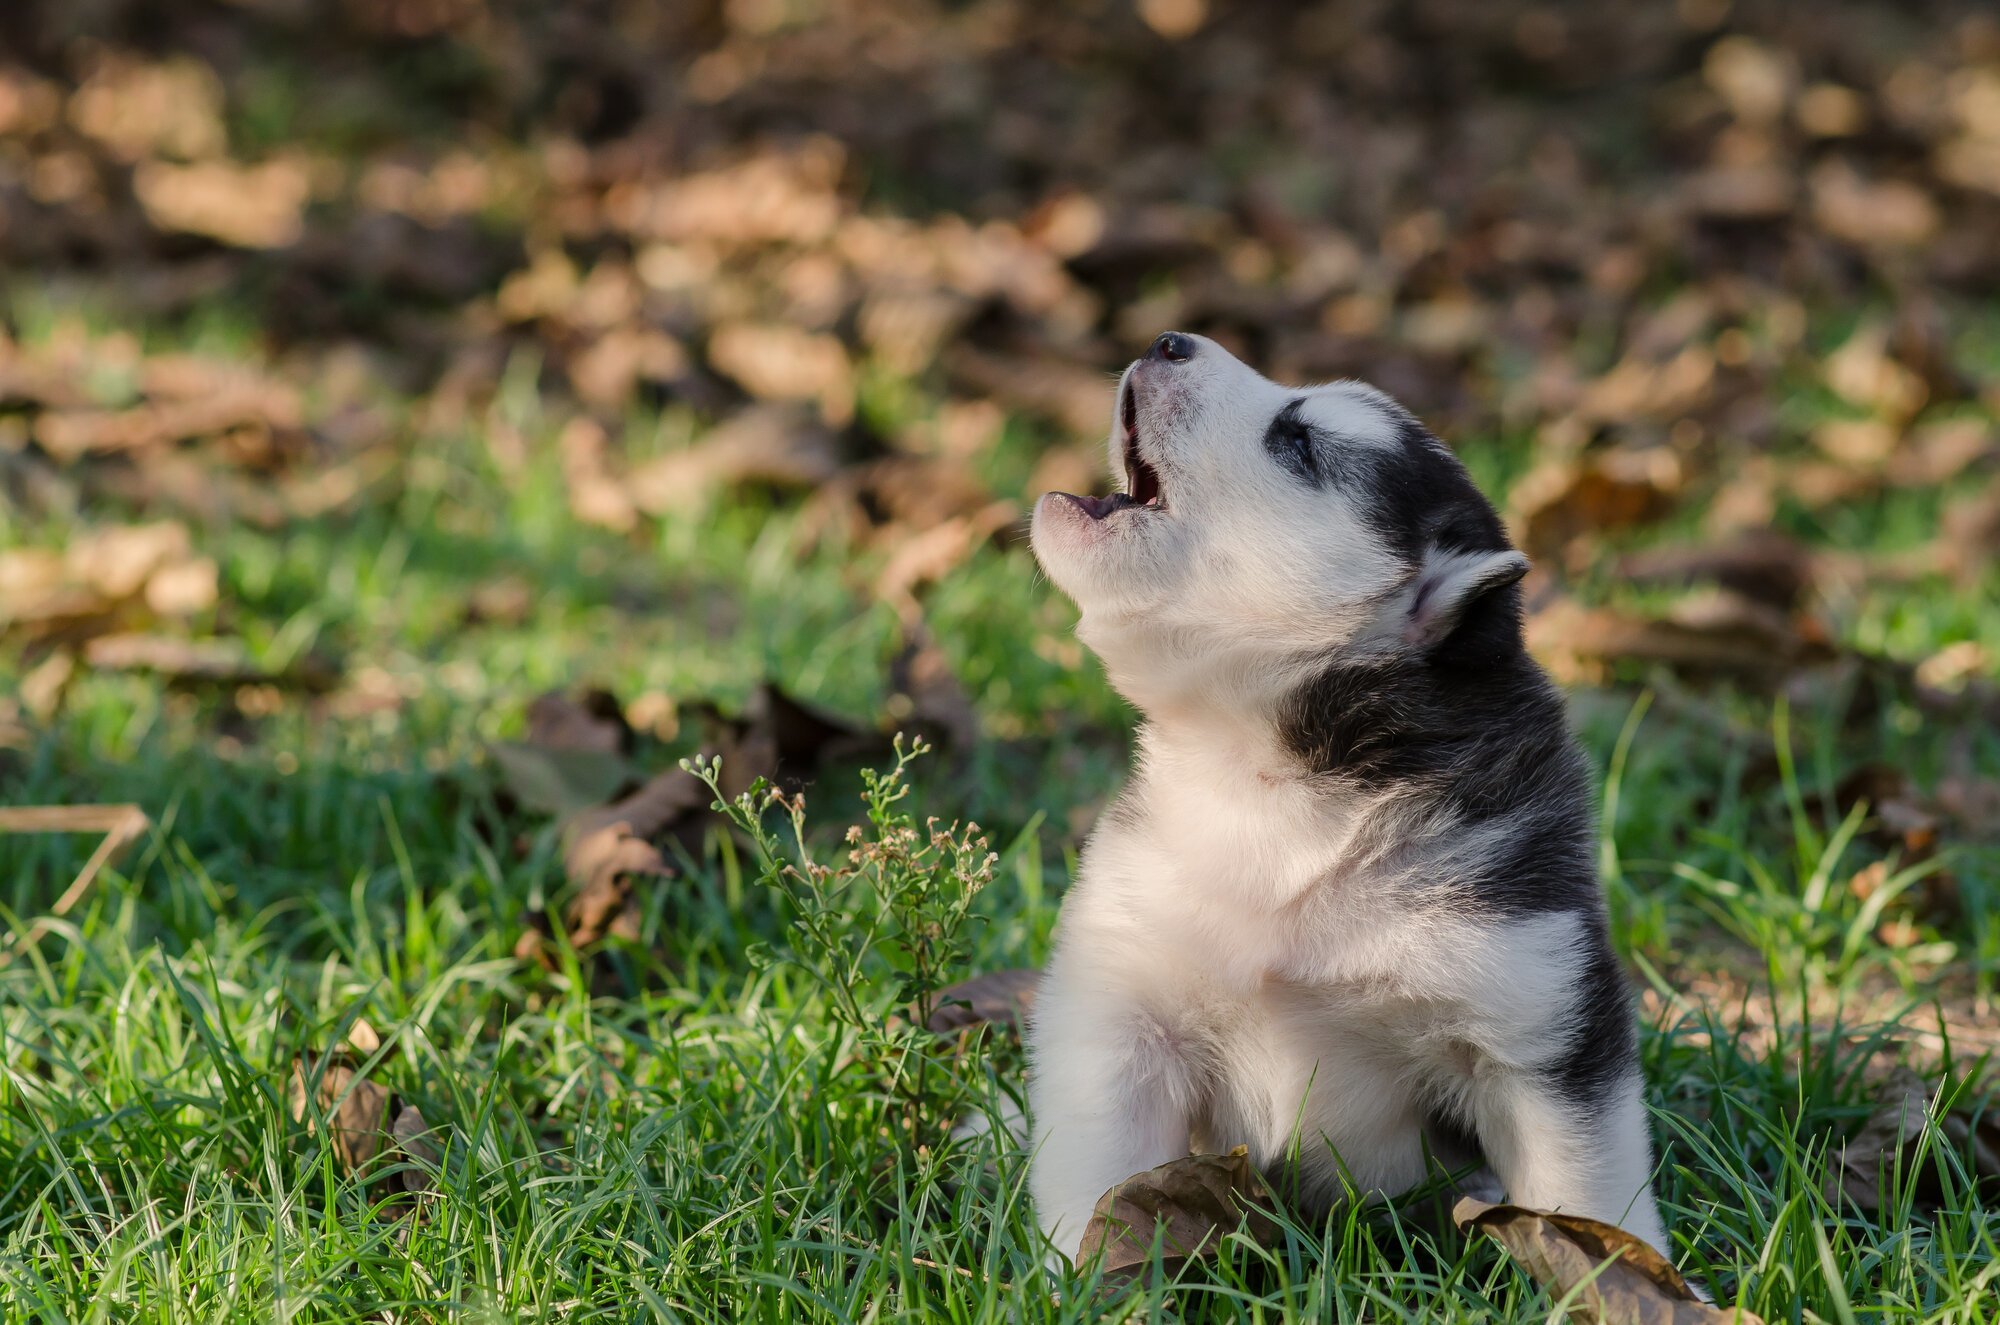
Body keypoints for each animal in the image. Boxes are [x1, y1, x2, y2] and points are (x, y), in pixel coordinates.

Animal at [1032, 332, 1672, 1264]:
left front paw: (1631, 1275)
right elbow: (1097, 1184)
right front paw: (1074, 1275)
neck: (1268, 783)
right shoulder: (1123, 1015)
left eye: (1298, 442)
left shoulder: (1539, 1013)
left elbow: (1585, 1187)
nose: (1168, 339)